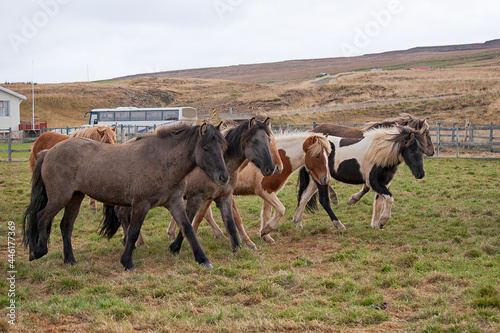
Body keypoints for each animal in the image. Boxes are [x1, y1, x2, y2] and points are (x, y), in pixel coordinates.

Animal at [21, 122, 229, 270]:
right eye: (205, 148)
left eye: (223, 148)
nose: (223, 177)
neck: (161, 160)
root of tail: (48, 151)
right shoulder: (140, 204)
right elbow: (134, 231)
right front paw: (128, 262)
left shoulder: (175, 202)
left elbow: (187, 228)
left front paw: (203, 260)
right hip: (59, 198)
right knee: (41, 217)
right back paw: (38, 251)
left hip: (75, 197)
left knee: (66, 226)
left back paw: (70, 260)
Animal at [294, 126, 428, 230]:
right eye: (411, 151)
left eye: (422, 151)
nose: (420, 174)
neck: (379, 153)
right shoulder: (375, 182)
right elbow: (389, 199)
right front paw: (382, 221)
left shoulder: (385, 183)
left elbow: (378, 203)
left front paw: (376, 225)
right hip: (321, 181)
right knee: (323, 201)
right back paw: (339, 225)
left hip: (316, 180)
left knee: (304, 197)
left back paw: (298, 222)